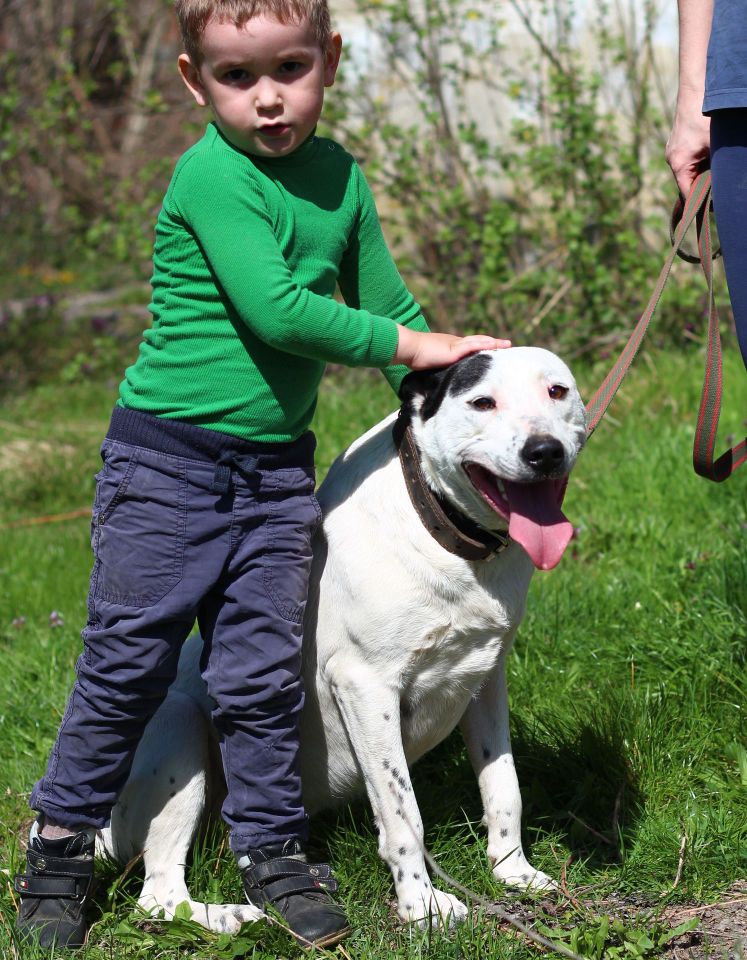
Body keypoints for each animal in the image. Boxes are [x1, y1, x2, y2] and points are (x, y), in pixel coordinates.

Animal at [99, 344, 588, 928]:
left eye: (557, 391)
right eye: (482, 402)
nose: (545, 451)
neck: (441, 532)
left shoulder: (485, 678)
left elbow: (503, 786)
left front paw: (513, 870)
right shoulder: (365, 687)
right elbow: (403, 815)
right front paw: (421, 906)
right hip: (179, 723)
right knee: (157, 894)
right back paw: (228, 917)